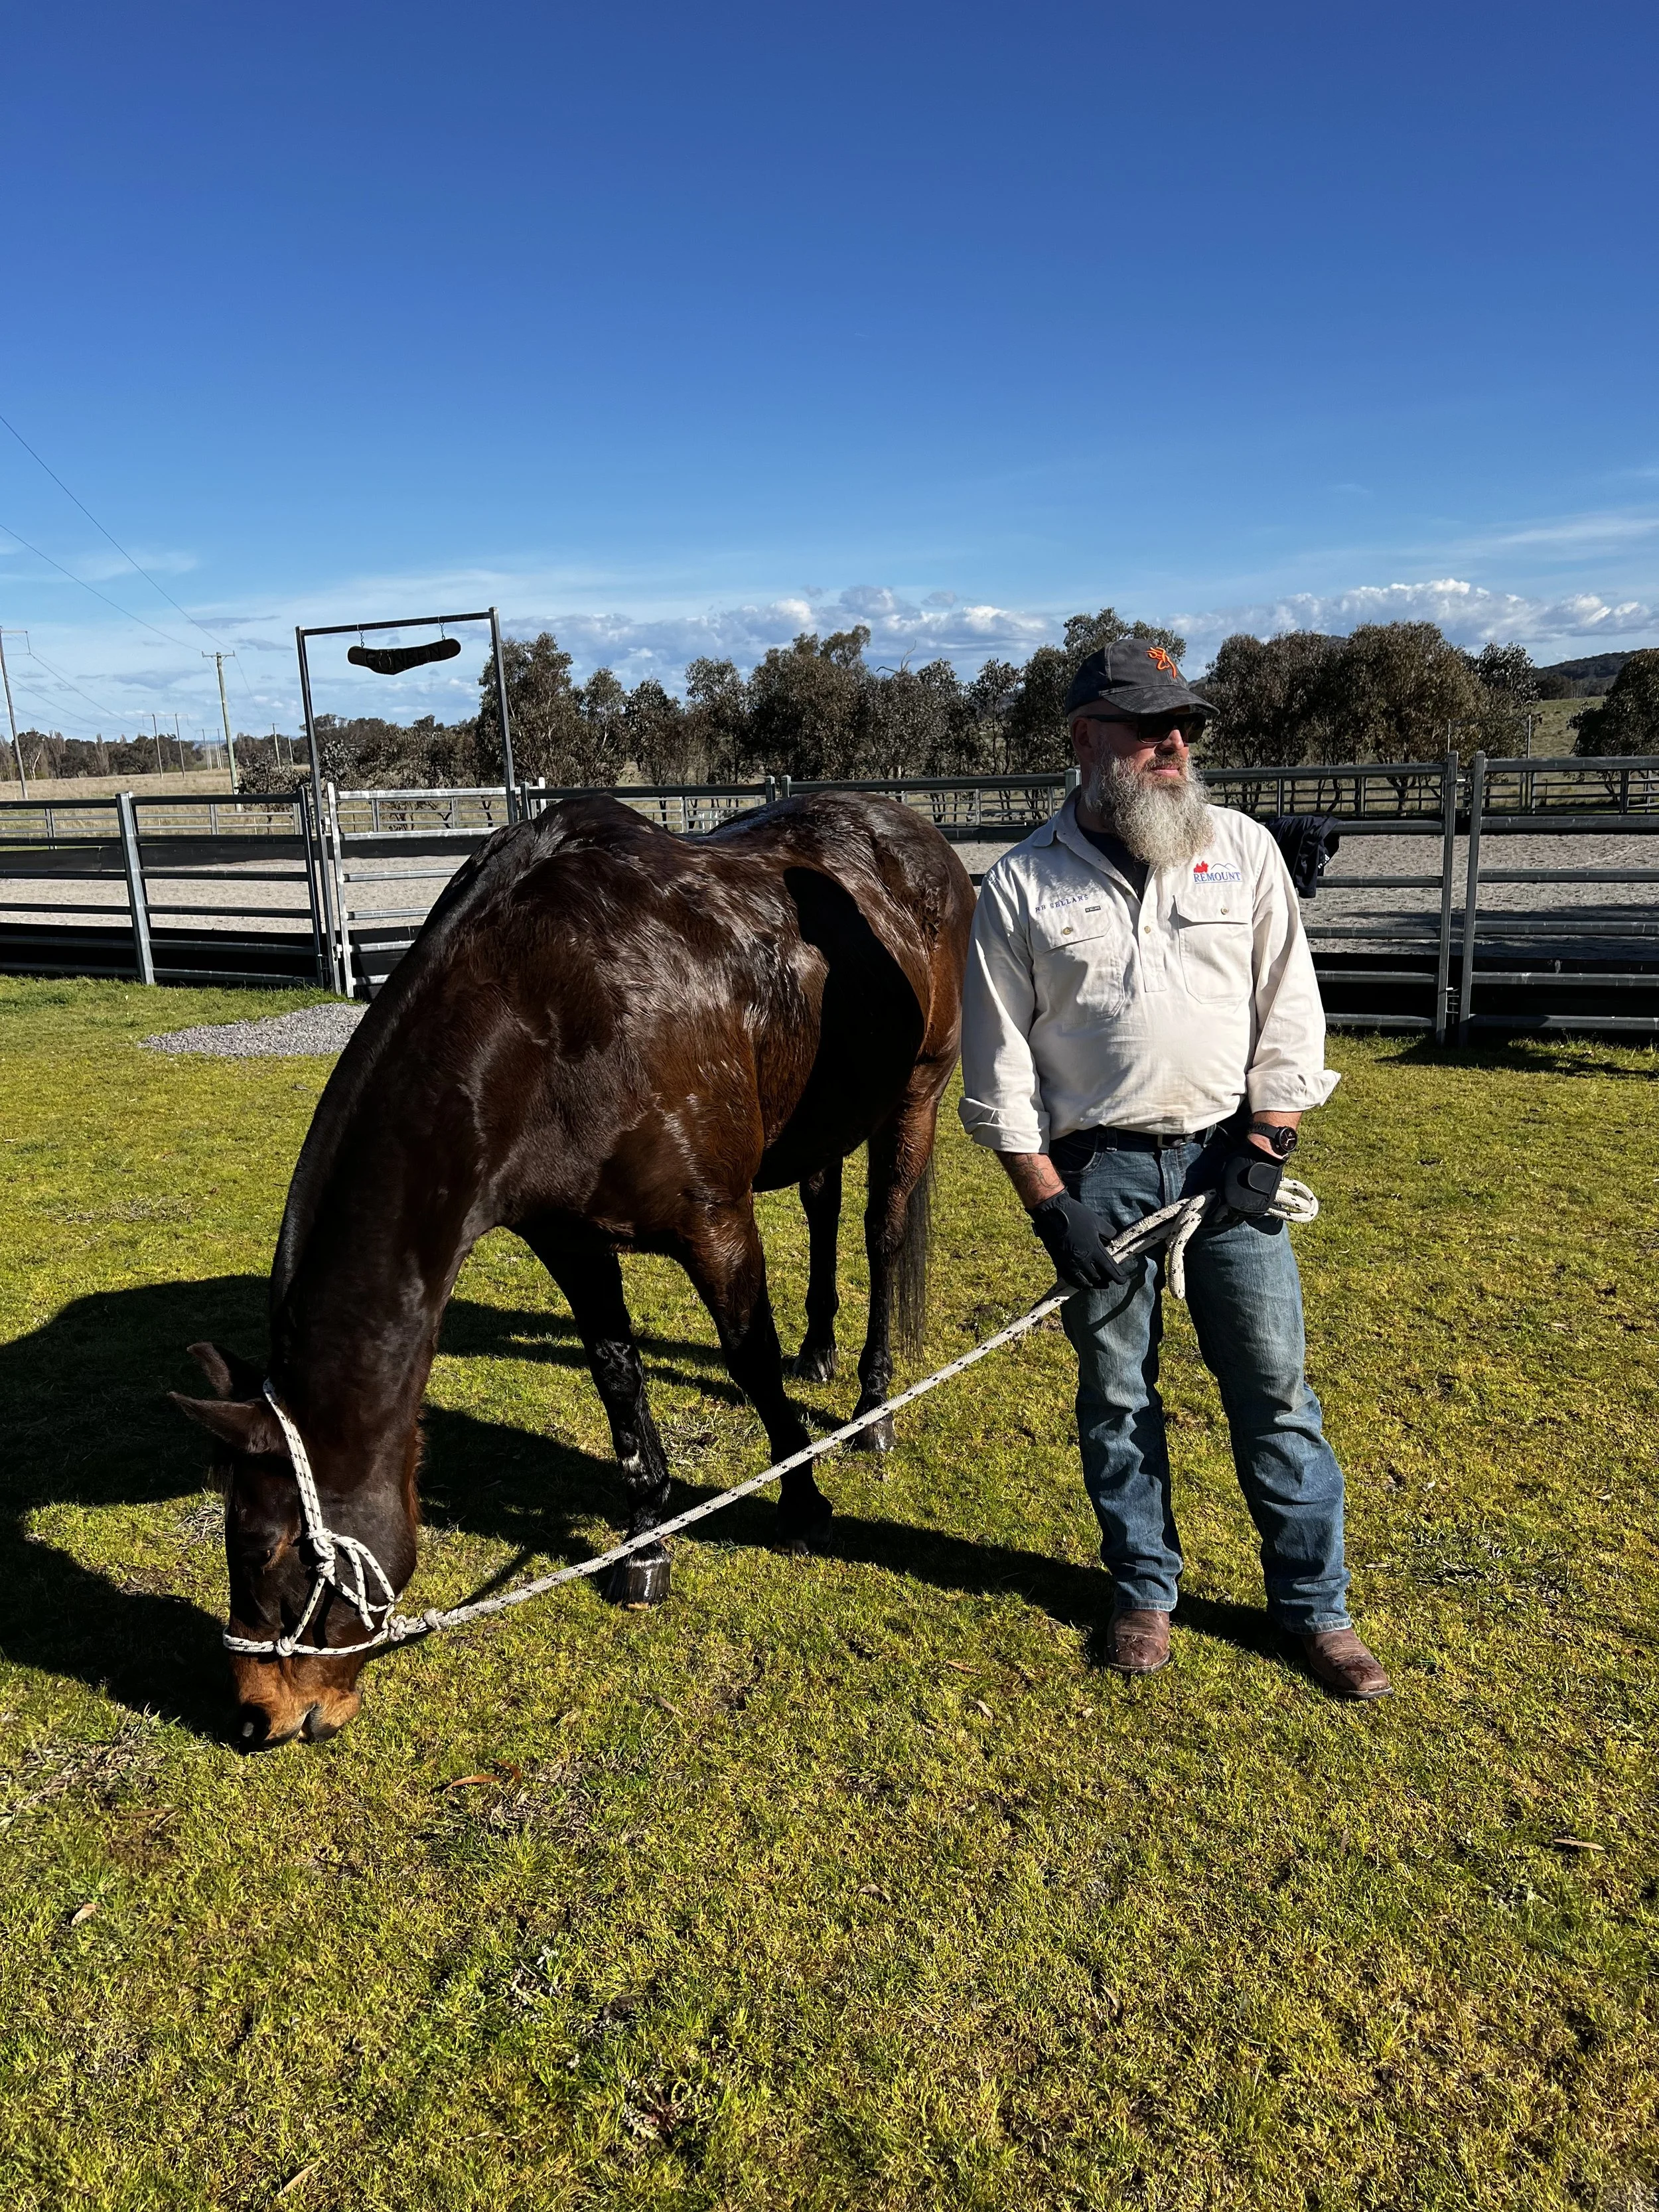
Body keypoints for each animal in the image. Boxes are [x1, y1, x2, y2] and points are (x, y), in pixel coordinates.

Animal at [172, 791, 974, 1748]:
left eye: (262, 1547)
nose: (259, 1716)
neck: (550, 1017)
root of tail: (915, 830)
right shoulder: (573, 1243)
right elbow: (617, 1382)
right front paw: (647, 1541)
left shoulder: (717, 1225)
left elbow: (750, 1360)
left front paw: (802, 1503)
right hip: (823, 1114)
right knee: (821, 1203)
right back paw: (820, 1350)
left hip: (916, 1092)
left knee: (880, 1238)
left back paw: (870, 1407)